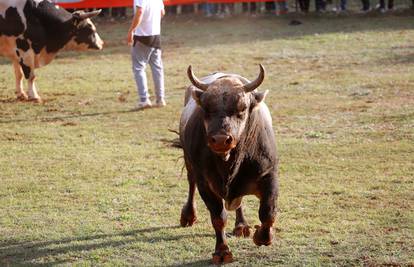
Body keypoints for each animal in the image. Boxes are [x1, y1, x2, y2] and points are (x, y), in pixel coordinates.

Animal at [180, 65, 280, 266]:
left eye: (242, 108)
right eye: (206, 108)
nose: (220, 139)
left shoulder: (269, 174)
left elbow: (268, 212)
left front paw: (262, 236)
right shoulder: (205, 184)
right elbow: (218, 218)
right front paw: (222, 251)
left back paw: (241, 225)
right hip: (190, 165)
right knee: (191, 183)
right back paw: (188, 216)